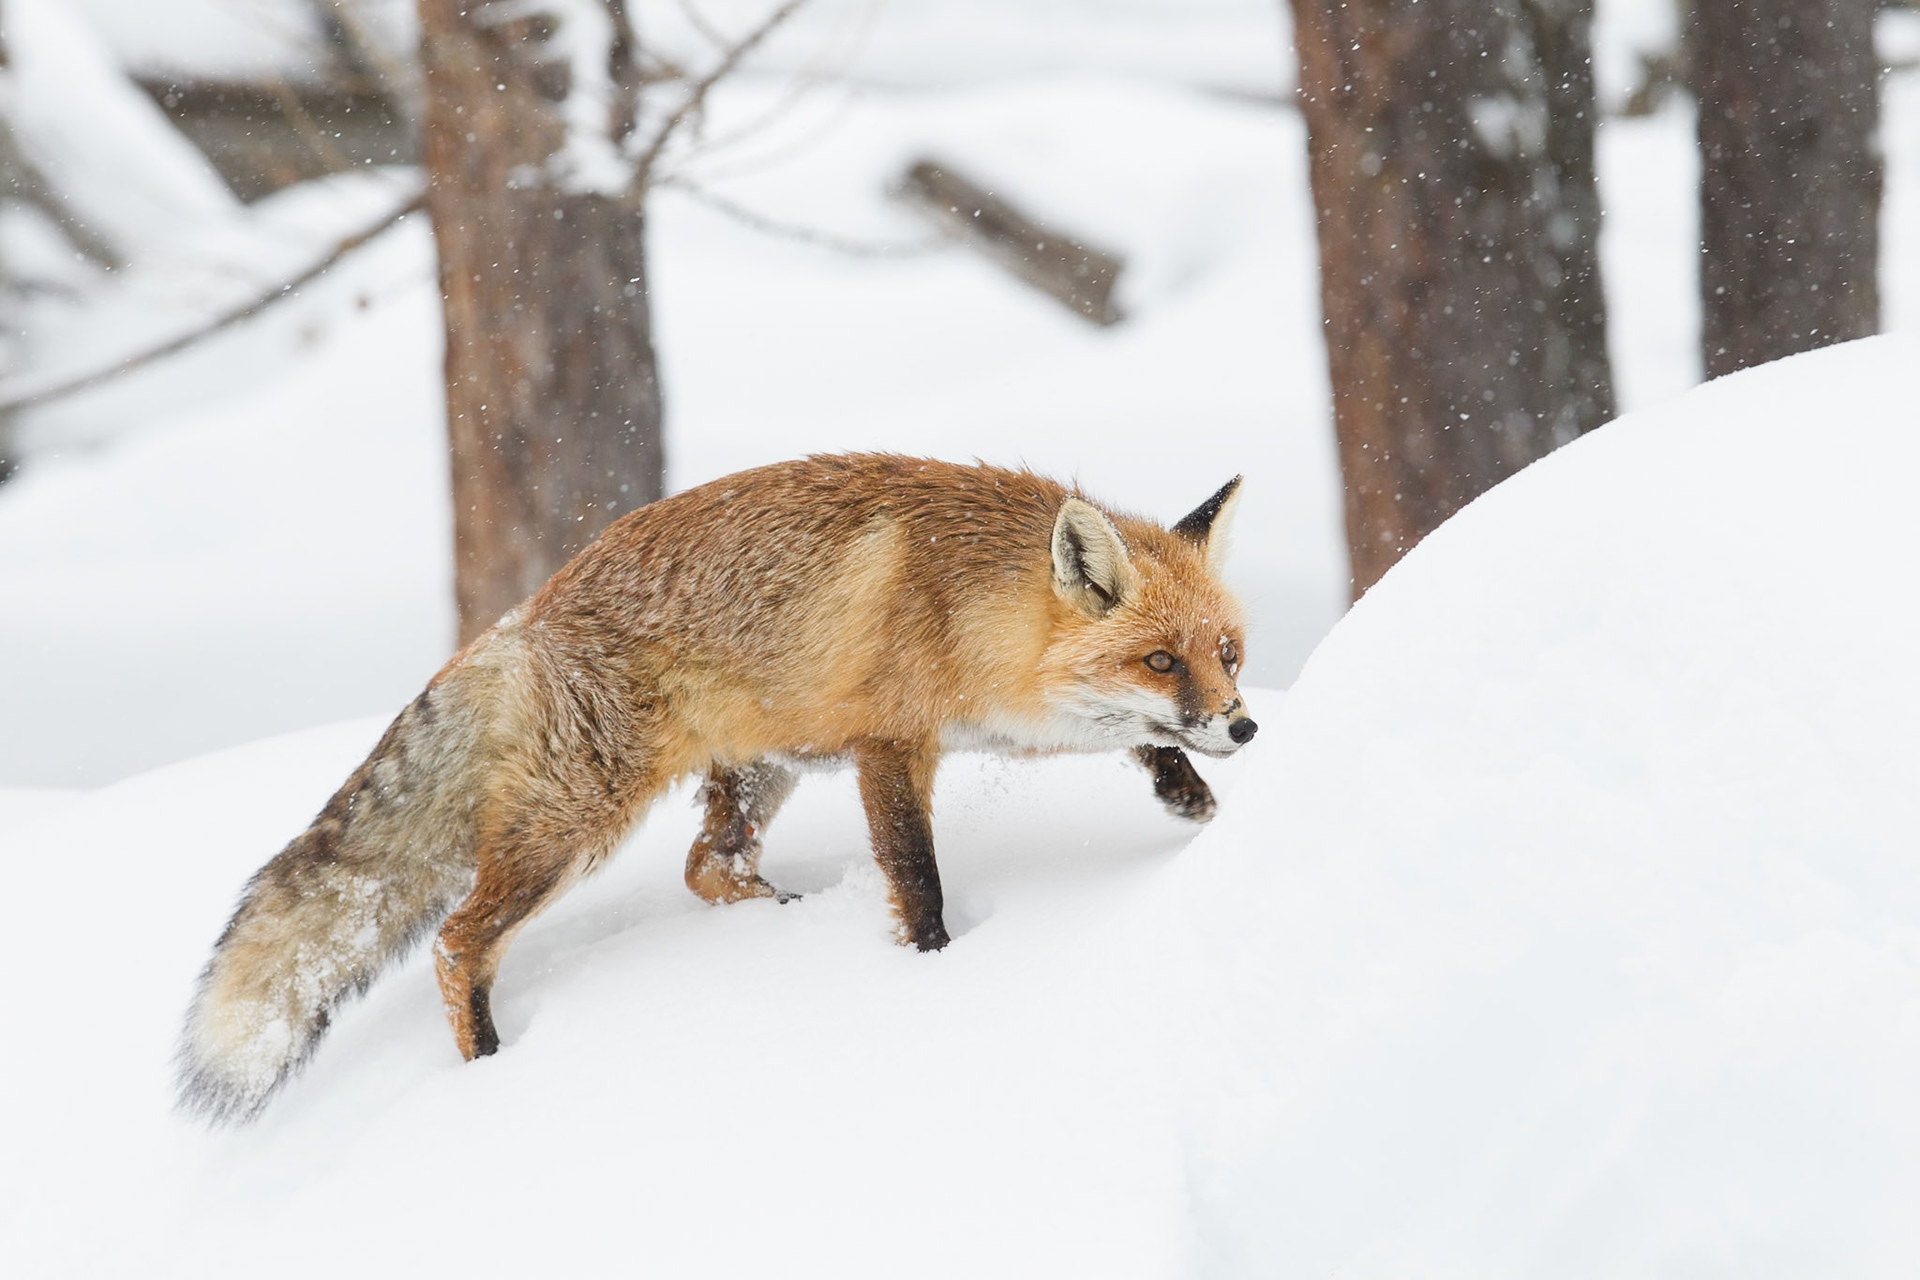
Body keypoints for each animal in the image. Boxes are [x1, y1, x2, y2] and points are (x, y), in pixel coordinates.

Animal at [176, 454, 1257, 1123]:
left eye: (1227, 653)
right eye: (1160, 658)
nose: (1245, 725)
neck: (965, 606)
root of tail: (526, 614)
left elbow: (1141, 745)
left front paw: (1192, 798)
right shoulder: (889, 745)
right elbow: (919, 879)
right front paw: (933, 974)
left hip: (759, 770)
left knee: (706, 869)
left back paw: (785, 918)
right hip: (580, 821)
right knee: (457, 940)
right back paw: (490, 1063)